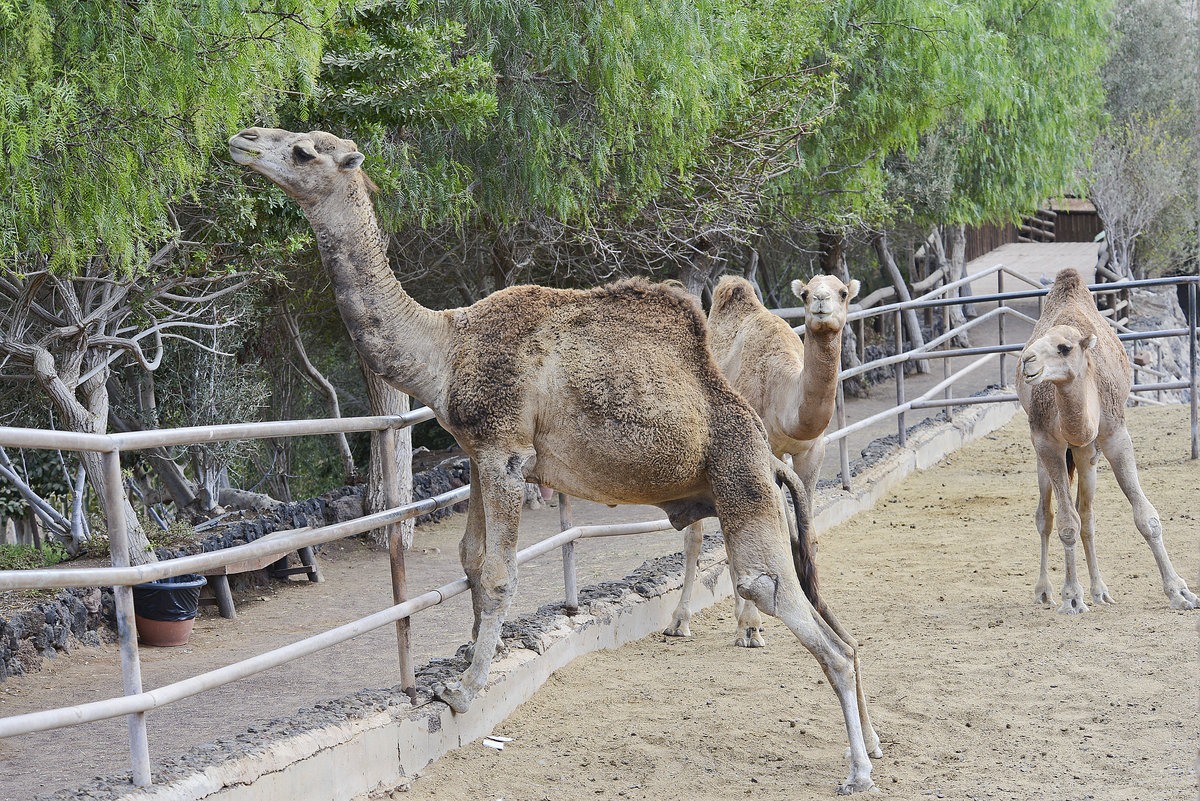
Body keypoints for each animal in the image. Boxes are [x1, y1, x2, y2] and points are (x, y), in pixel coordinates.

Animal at [226, 128, 883, 791]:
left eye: (305, 151)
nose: (245, 139)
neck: (446, 347)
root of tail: (767, 457)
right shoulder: (477, 452)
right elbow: (469, 559)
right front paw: (472, 661)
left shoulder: (505, 450)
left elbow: (497, 573)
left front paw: (464, 691)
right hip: (755, 491)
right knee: (839, 629)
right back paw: (874, 742)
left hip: (741, 482)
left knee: (781, 598)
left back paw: (857, 769)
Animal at [1012, 268, 1200, 613]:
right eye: (1039, 342)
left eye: (1064, 347)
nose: (1027, 360)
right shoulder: (1047, 442)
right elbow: (1066, 523)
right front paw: (1071, 597)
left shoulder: (1114, 434)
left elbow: (1146, 517)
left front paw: (1181, 593)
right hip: (1045, 453)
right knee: (1046, 516)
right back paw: (1044, 591)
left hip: (1088, 453)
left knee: (1087, 515)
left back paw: (1100, 591)